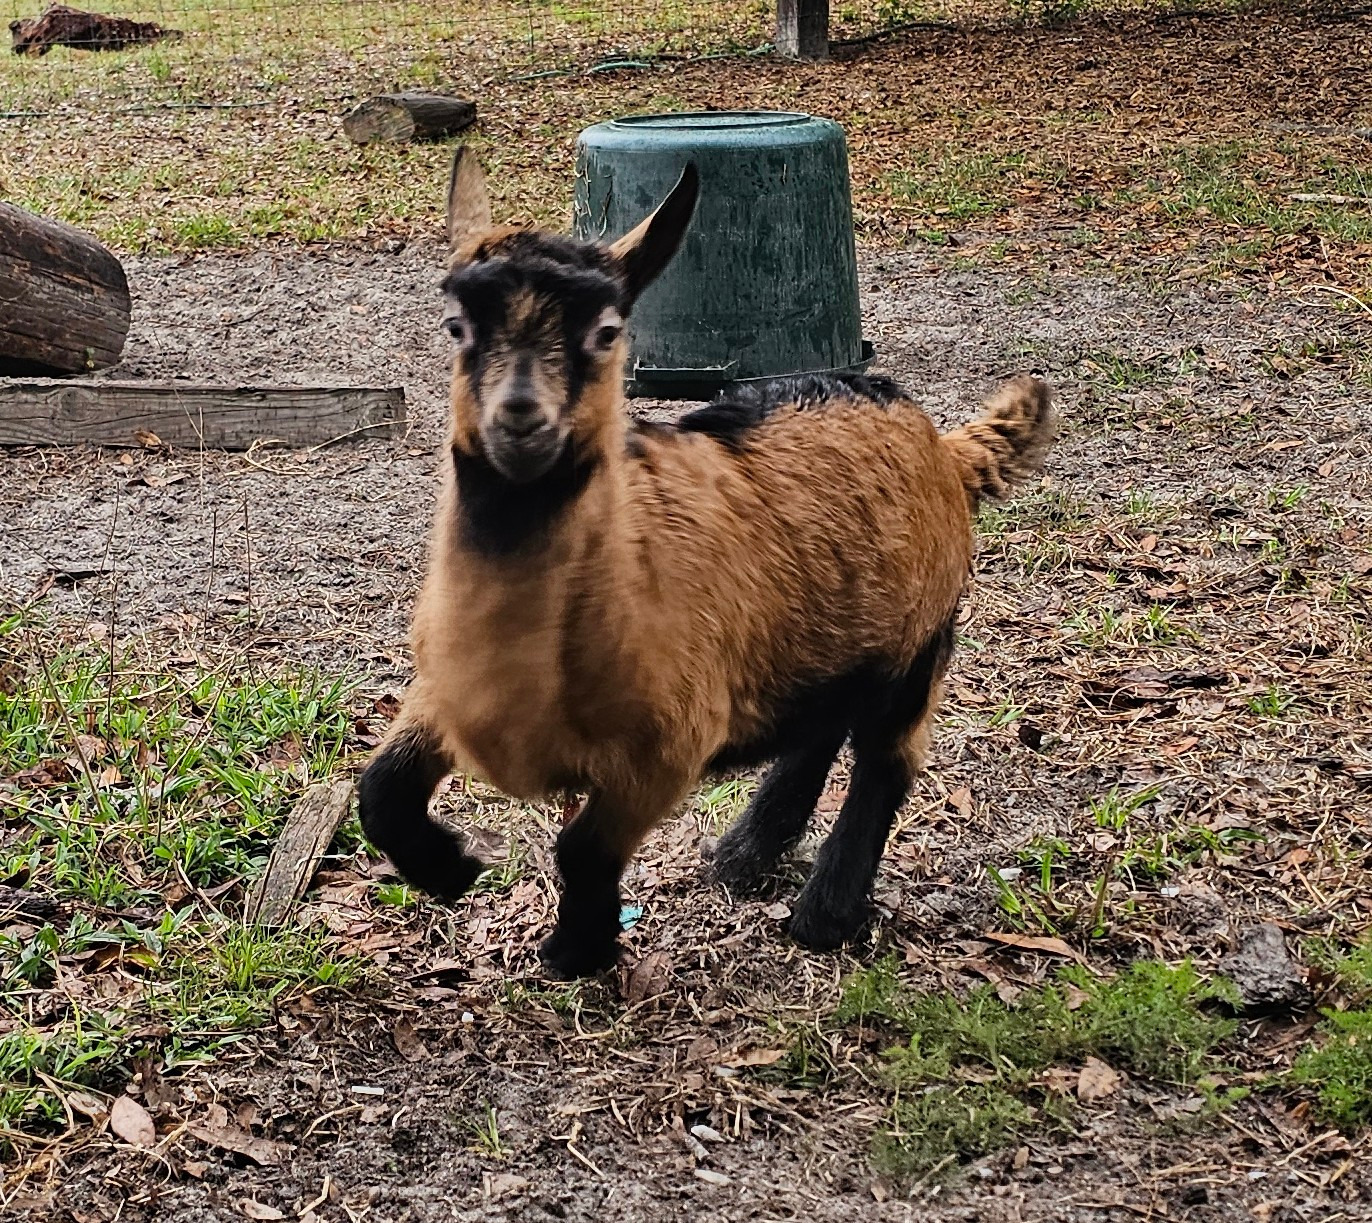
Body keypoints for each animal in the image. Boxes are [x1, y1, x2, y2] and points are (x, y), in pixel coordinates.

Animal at [358, 149, 1056, 979]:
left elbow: (581, 847)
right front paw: (451, 870)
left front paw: (575, 948)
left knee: (887, 758)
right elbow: (378, 791)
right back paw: (742, 857)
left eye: (607, 331)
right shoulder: (445, 696)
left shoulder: (664, 750)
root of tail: (945, 446)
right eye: (456, 325)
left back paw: (823, 914)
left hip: (918, 638)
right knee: (819, 725)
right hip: (822, 627)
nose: (521, 417)